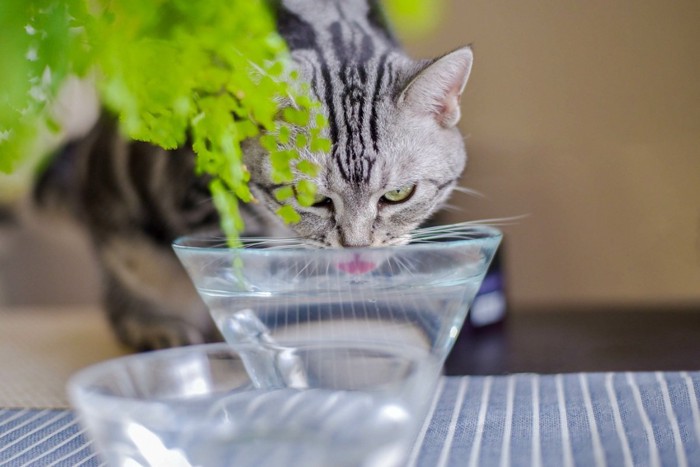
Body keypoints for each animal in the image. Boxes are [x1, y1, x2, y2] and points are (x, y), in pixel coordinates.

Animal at [31, 0, 470, 352]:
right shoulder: (203, 198)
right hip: (128, 243)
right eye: (310, 198)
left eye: (398, 194)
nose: (356, 248)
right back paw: (156, 327)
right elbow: (237, 276)